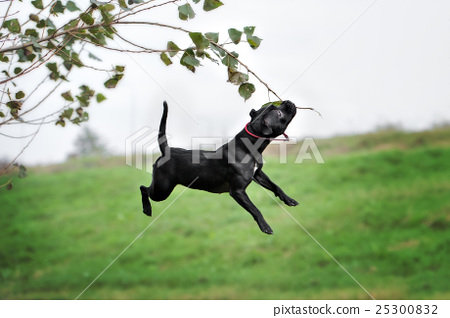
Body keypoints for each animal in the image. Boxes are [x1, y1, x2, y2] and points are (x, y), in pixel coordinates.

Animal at [141, 100, 298, 235]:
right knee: (144, 188)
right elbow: (255, 209)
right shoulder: (237, 191)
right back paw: (147, 209)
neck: (250, 146)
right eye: (279, 113)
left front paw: (288, 199)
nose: (288, 101)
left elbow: (275, 186)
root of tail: (166, 150)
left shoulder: (258, 174)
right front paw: (265, 226)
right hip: (162, 189)